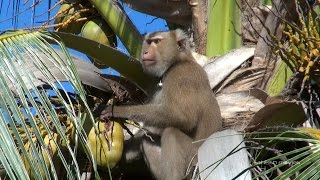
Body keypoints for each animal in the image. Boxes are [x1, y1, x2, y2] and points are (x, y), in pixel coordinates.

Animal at [100, 28, 222, 179]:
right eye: (148, 42)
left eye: (157, 41)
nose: (145, 52)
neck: (179, 60)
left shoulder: (181, 76)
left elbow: (184, 118)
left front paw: (117, 111)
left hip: (194, 161)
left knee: (171, 133)